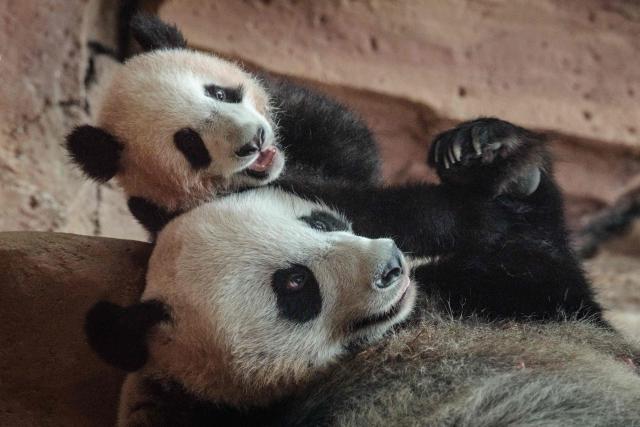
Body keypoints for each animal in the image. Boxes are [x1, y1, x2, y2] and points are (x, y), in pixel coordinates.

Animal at [72, 15, 602, 322]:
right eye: (191, 145)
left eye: (220, 92)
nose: (254, 142)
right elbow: (377, 214)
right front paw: (477, 211)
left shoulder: (302, 123)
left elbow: (349, 140)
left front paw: (479, 150)